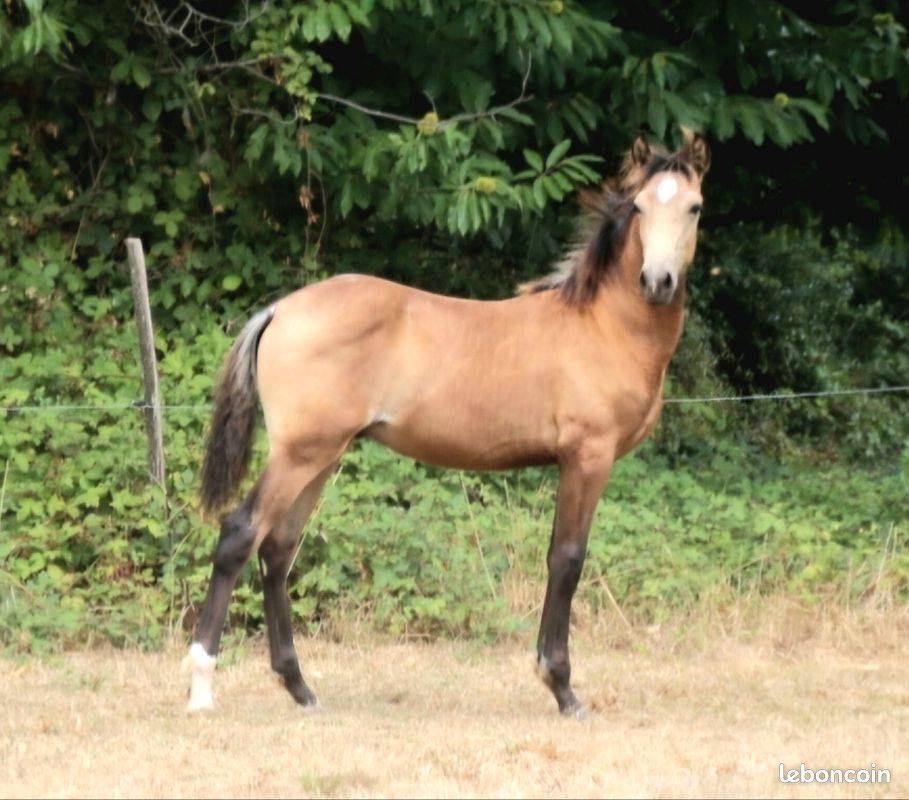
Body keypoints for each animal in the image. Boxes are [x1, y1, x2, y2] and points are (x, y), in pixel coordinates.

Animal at [184, 130, 711, 717]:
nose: (658, 281)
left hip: (320, 456)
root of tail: (280, 310)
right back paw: (201, 687)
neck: (602, 325)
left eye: (694, 207)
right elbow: (567, 560)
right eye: (639, 207)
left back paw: (300, 687)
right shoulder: (587, 457)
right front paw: (562, 686)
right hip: (301, 455)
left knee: (277, 549)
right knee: (240, 534)